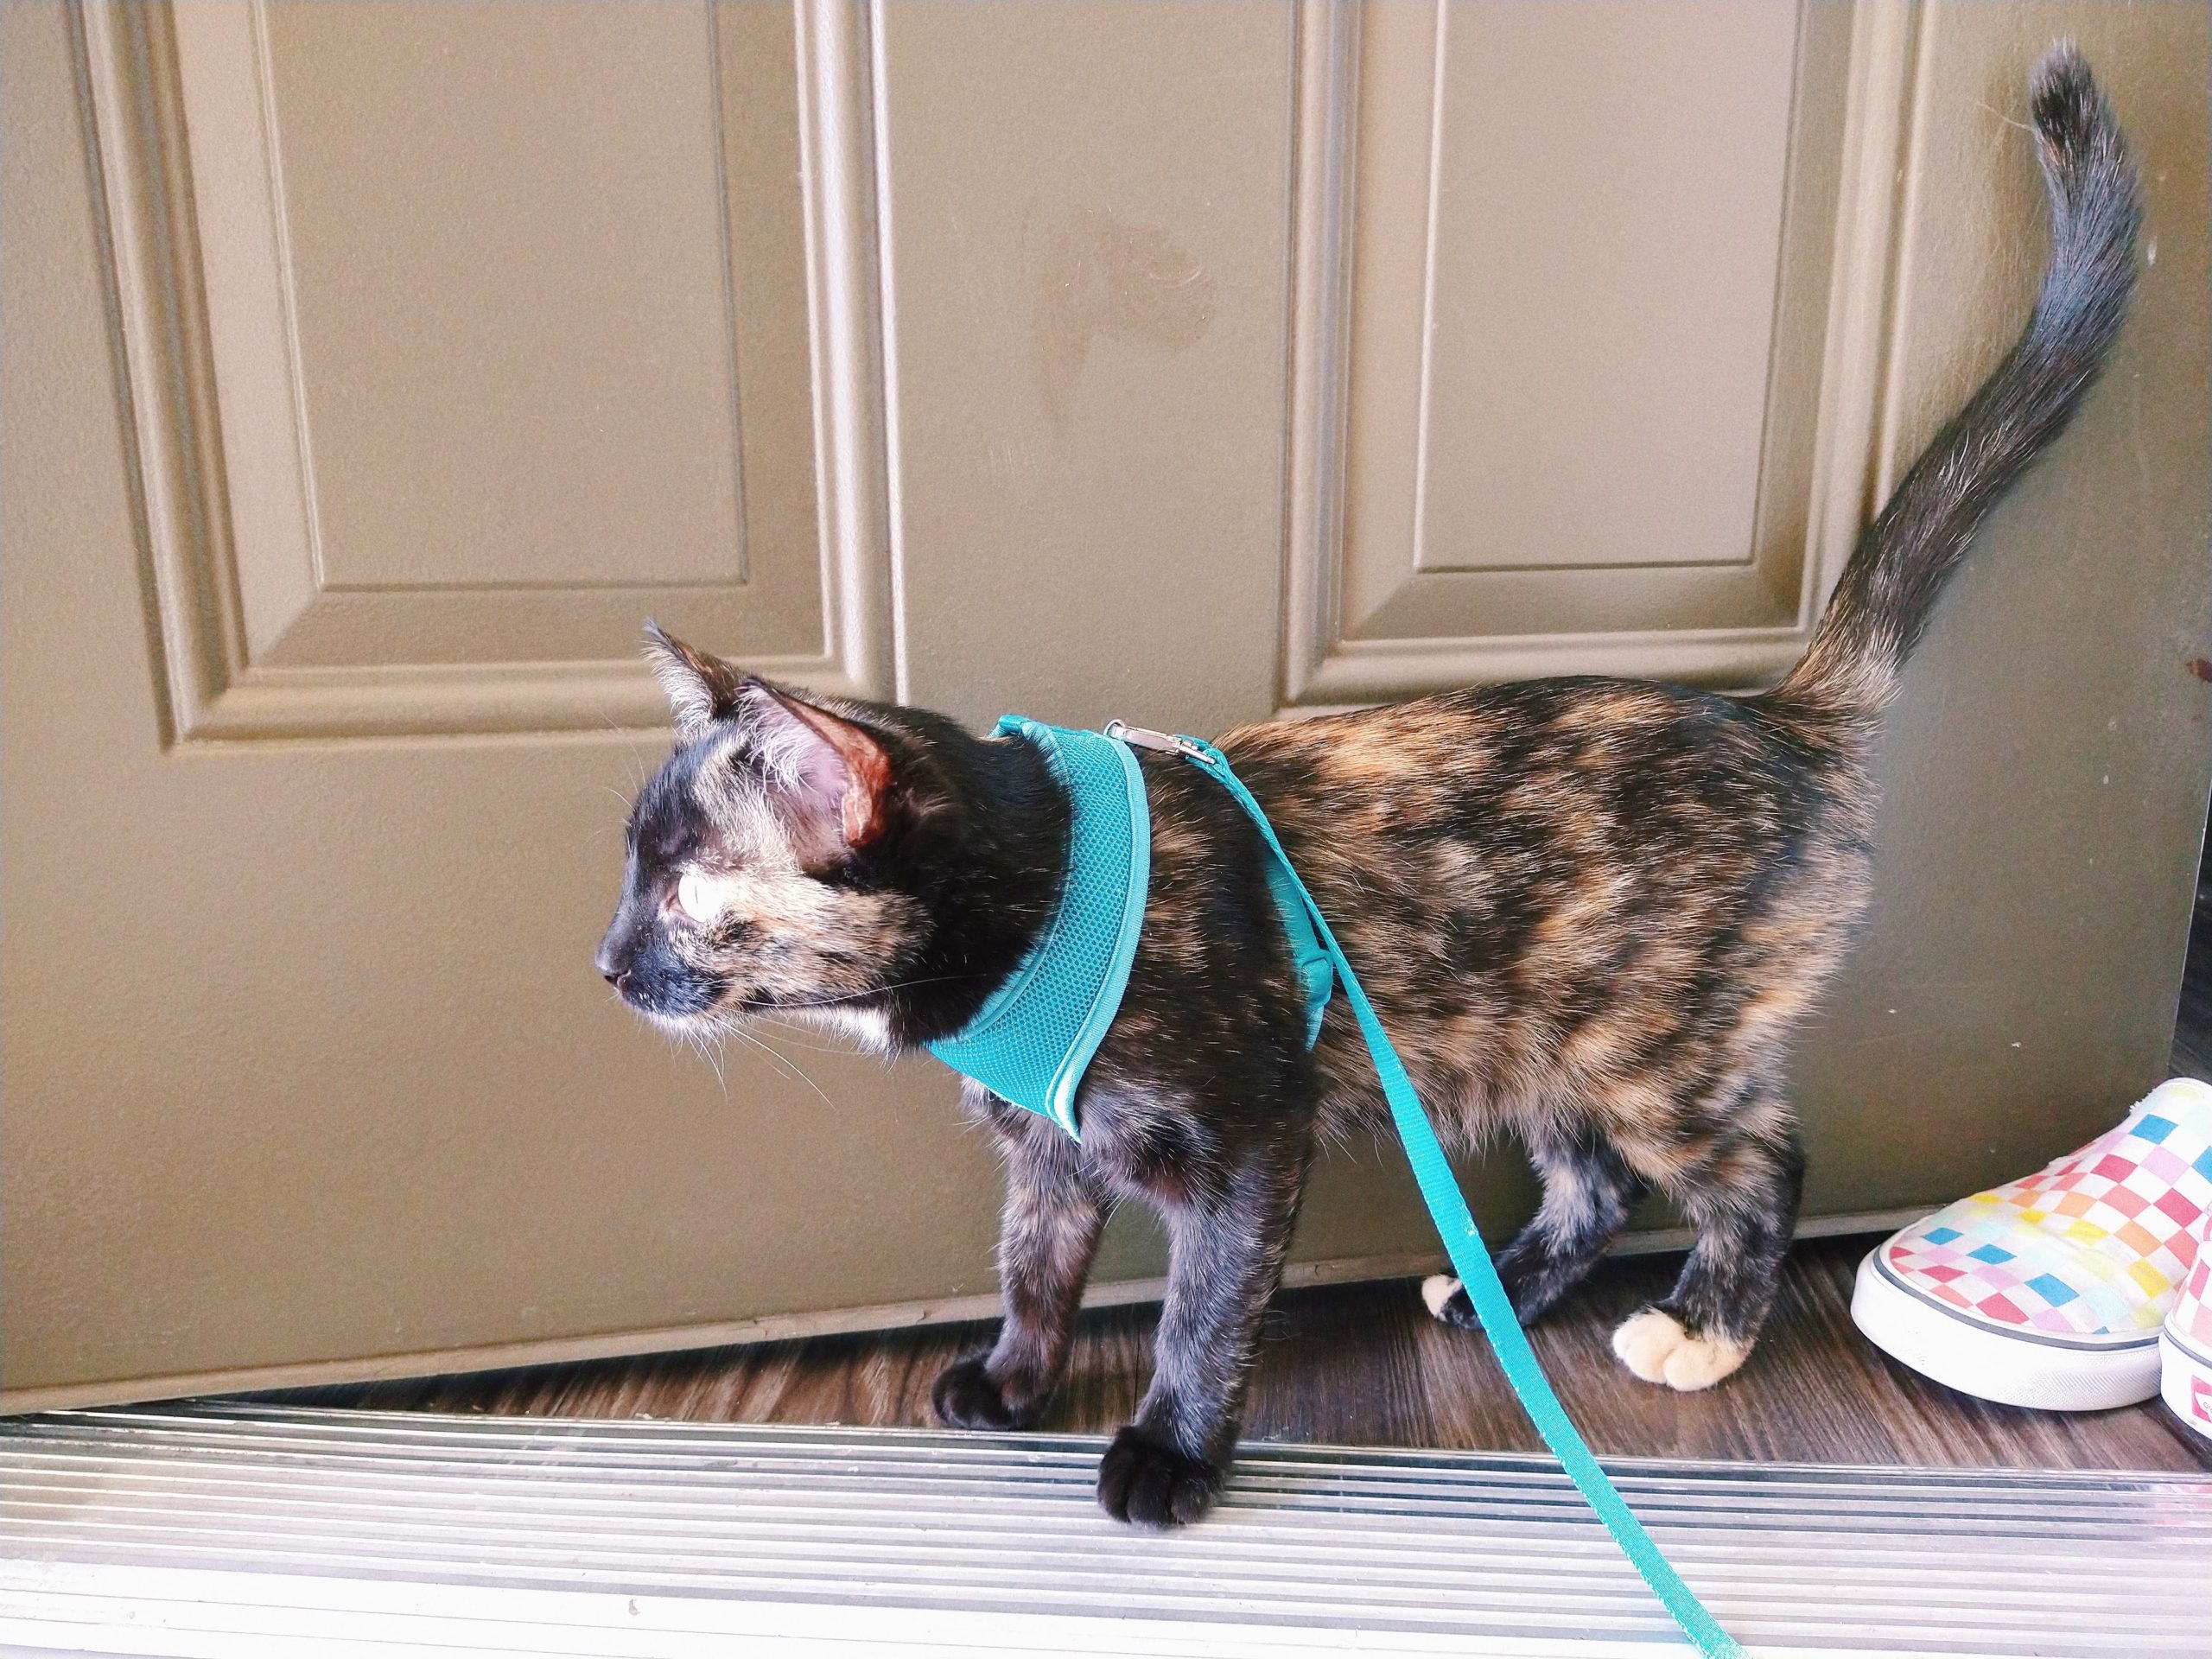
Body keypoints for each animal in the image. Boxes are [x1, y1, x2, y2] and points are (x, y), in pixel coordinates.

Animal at [601, 52, 2141, 1530]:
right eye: (633, 866)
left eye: (680, 883)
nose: (607, 964)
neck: (1042, 895)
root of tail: (1777, 716)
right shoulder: (1048, 1149)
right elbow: (1034, 1257)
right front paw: (1015, 1376)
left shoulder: (1245, 1142)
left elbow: (1205, 1312)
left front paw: (1169, 1453)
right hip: (1538, 1039)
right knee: (1596, 1180)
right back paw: (1503, 1290)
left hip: (1652, 1051)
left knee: (1759, 1164)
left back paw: (1705, 1327)